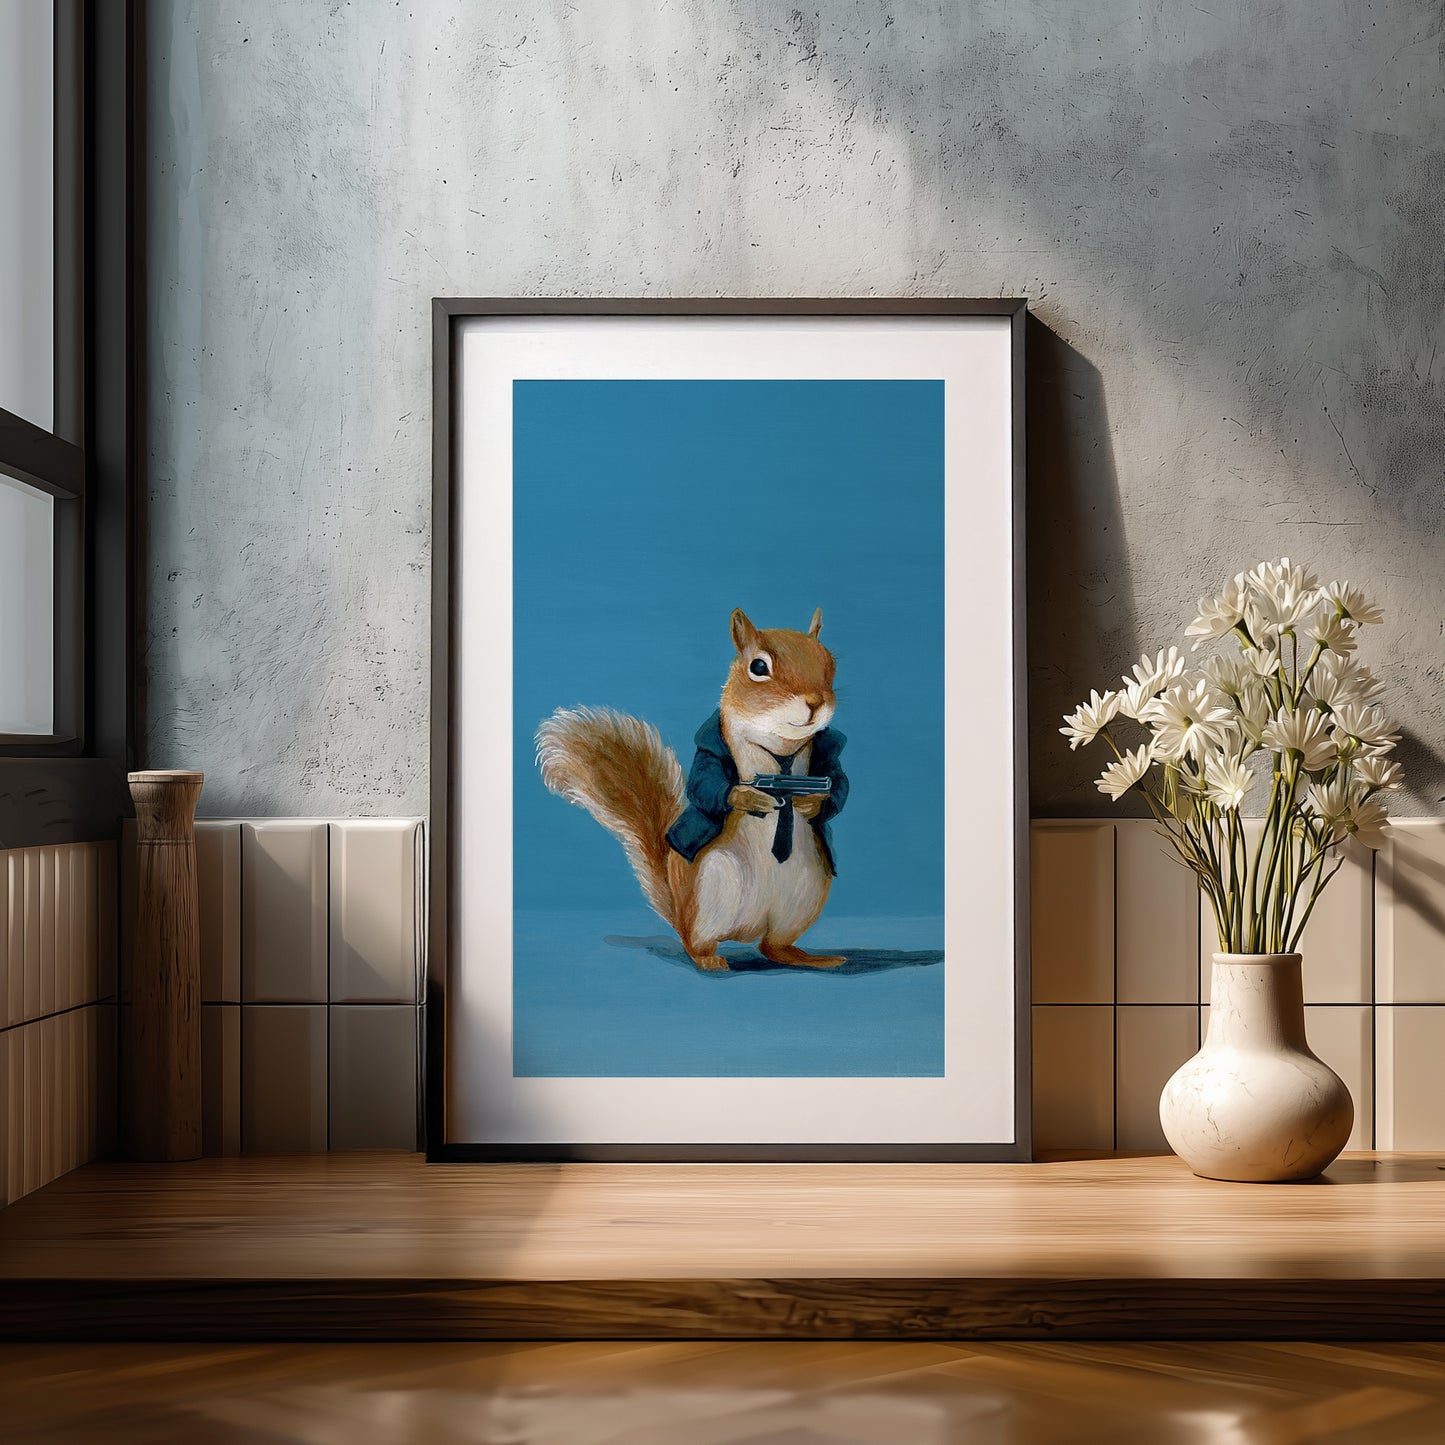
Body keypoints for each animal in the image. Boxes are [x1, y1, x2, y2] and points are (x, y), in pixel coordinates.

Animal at [536, 607, 849, 973]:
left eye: (829, 662)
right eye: (759, 667)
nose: (815, 702)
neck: (780, 748)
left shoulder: (828, 752)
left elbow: (838, 782)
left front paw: (812, 803)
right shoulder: (711, 743)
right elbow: (705, 783)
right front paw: (747, 796)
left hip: (802, 899)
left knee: (772, 946)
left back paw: (811, 958)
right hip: (710, 894)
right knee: (696, 942)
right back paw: (709, 960)